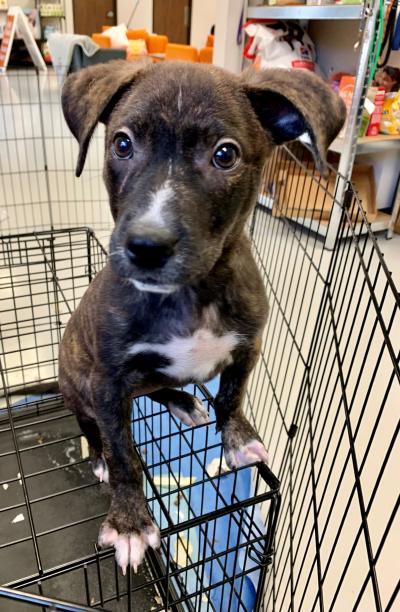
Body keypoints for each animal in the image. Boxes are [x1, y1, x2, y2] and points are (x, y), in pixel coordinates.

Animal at [61, 59, 346, 572]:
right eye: (122, 144)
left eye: (225, 155)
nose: (146, 245)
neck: (190, 294)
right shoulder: (108, 381)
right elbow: (124, 455)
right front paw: (129, 521)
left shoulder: (248, 344)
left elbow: (232, 395)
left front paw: (236, 438)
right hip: (77, 382)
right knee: (92, 427)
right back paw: (99, 453)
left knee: (157, 389)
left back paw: (182, 401)